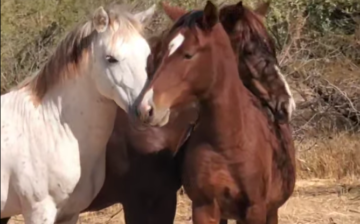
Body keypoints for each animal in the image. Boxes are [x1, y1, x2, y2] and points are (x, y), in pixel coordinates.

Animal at [1, 3, 155, 224]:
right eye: (111, 59)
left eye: (147, 55)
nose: (148, 109)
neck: (53, 127)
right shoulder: (38, 212)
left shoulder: (70, 213)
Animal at [132, 0, 296, 223]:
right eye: (160, 53)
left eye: (188, 54)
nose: (146, 108)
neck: (230, 143)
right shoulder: (204, 207)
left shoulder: (255, 210)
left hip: (271, 212)